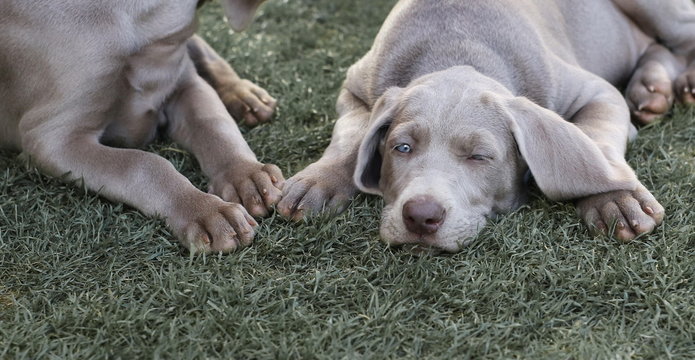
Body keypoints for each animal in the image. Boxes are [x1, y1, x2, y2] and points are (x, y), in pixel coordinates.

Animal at [0, 0, 284, 253]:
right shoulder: (52, 137)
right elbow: (143, 163)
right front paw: (206, 211)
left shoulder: (185, 84)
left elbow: (215, 124)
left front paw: (247, 176)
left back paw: (245, 96)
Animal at [278, 0, 695, 252]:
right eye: (402, 147)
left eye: (480, 156)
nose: (421, 216)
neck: (457, 43)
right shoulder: (356, 84)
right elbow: (351, 136)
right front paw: (316, 184)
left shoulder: (596, 91)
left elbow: (596, 141)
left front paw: (617, 200)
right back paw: (653, 89)